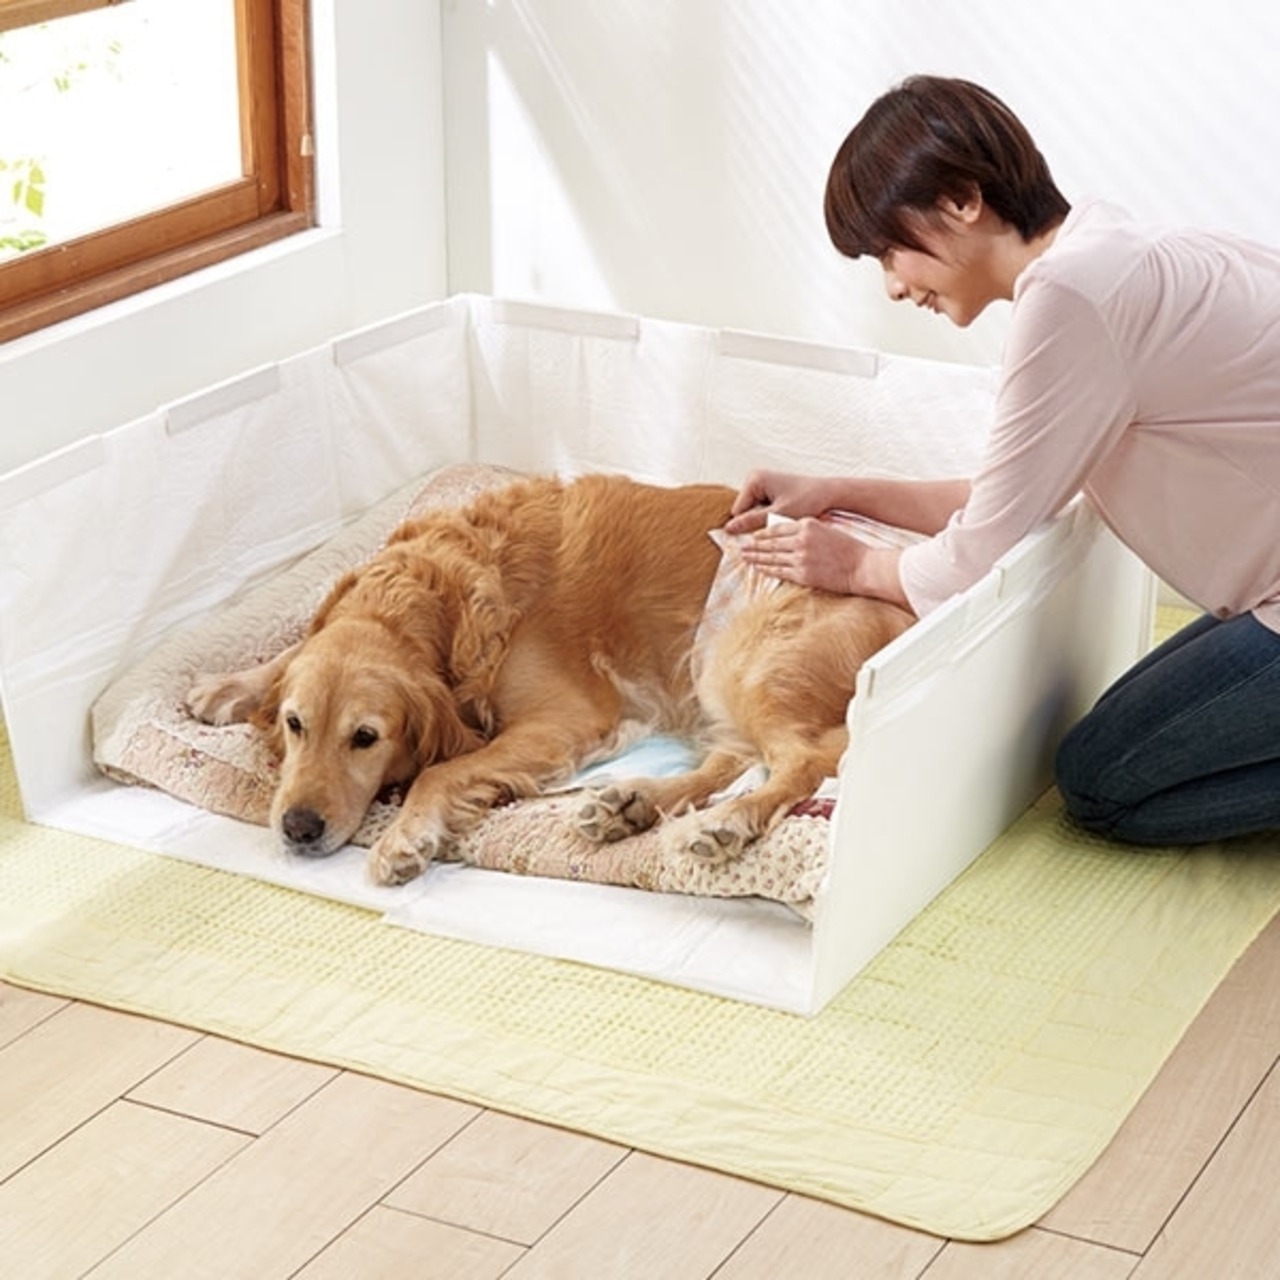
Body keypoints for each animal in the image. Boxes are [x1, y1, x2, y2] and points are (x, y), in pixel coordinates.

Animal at [187, 473, 914, 885]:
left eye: (365, 737)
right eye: (295, 724)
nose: (298, 828)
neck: (447, 600)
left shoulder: (562, 721)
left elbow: (439, 770)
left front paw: (406, 838)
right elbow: (292, 652)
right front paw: (228, 686)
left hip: (746, 657)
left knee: (802, 761)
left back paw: (725, 823)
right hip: (713, 677)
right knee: (731, 760)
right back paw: (631, 804)